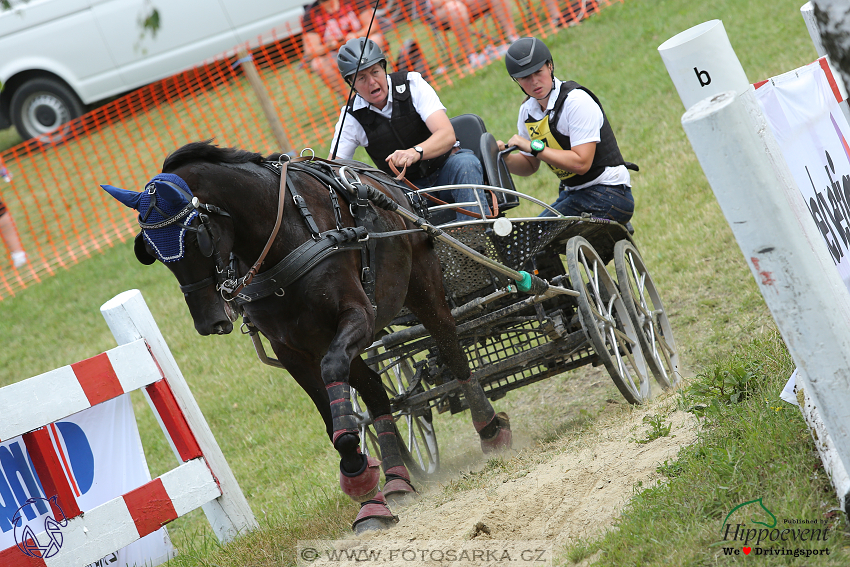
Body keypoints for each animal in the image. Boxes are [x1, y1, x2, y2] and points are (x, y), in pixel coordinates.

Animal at [102, 141, 506, 532]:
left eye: (194, 237)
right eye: (152, 251)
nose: (209, 321)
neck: (286, 233)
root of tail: (392, 183)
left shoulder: (358, 316)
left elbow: (337, 385)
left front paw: (357, 468)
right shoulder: (293, 350)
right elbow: (332, 413)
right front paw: (365, 491)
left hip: (422, 289)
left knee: (451, 350)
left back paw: (489, 428)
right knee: (375, 388)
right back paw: (395, 477)